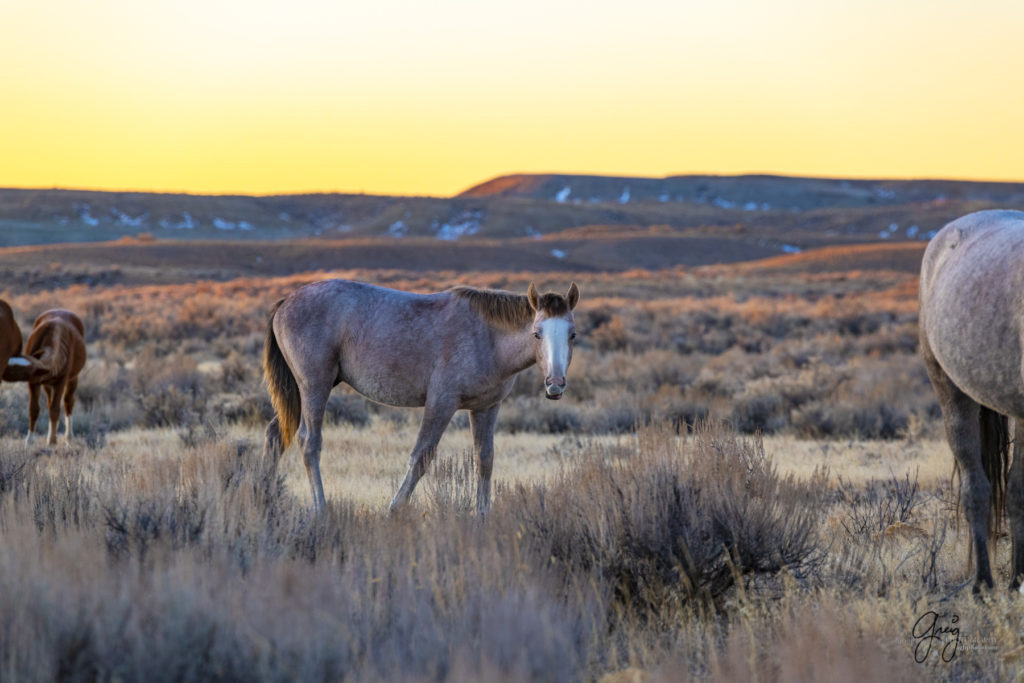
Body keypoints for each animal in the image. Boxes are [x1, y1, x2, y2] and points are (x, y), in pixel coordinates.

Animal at [18, 309, 87, 444]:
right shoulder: (35, 382)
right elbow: (34, 409)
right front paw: (29, 441)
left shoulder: (60, 381)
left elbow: (55, 409)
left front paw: (52, 442)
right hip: (48, 386)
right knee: (50, 403)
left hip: (72, 379)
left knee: (68, 402)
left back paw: (68, 436)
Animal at [264, 280, 581, 516]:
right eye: (537, 333)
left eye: (573, 334)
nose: (555, 385)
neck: (487, 337)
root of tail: (286, 301)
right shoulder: (441, 403)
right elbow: (421, 457)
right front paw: (394, 509)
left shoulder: (486, 408)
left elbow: (484, 459)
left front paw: (482, 516)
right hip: (315, 387)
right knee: (309, 442)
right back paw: (321, 509)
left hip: (299, 392)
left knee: (276, 435)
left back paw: (263, 495)